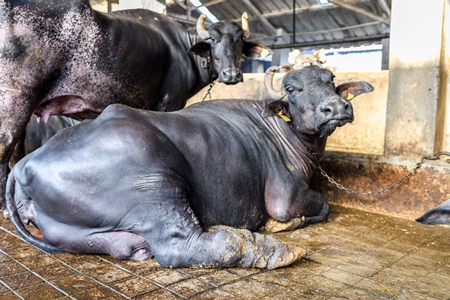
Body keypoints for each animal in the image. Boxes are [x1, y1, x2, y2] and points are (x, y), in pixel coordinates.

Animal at [0, 0, 268, 212]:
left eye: (241, 39)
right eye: (213, 38)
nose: (231, 74)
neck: (184, 49)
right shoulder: (170, 103)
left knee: (17, 148)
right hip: (14, 98)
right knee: (5, 146)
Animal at [6, 67, 372, 268]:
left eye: (331, 81)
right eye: (293, 89)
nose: (336, 107)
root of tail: (24, 164)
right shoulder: (285, 196)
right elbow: (322, 206)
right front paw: (281, 227)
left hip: (83, 234)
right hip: (153, 181)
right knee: (182, 245)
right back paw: (269, 250)